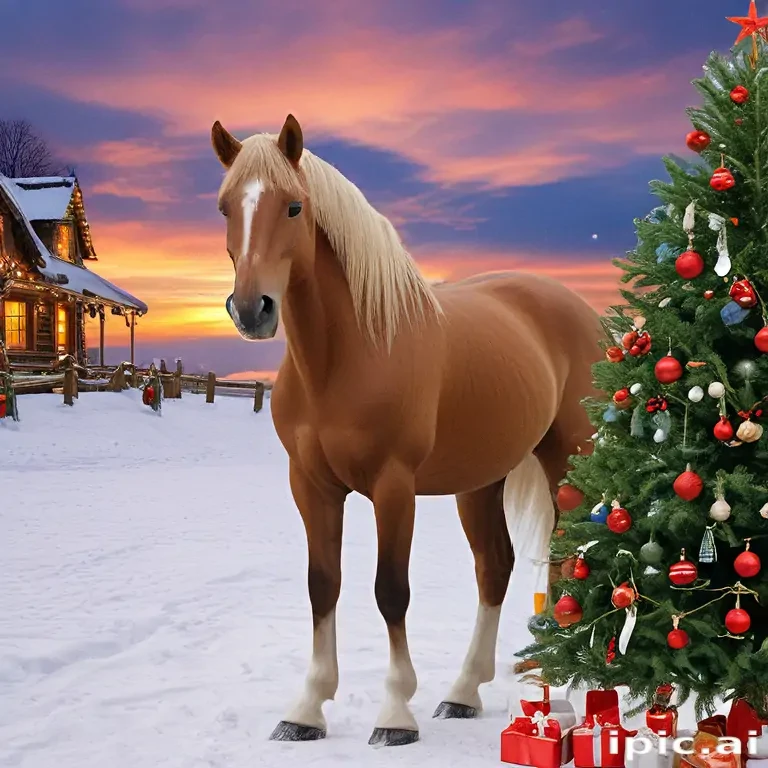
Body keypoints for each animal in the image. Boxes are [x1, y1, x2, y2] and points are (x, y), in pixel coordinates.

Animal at [210, 114, 605, 747]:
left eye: (294, 206)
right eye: (225, 207)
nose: (252, 309)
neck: (348, 356)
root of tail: (582, 311)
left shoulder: (393, 488)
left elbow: (390, 590)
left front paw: (395, 714)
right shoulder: (311, 487)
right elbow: (323, 584)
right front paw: (306, 710)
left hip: (568, 460)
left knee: (568, 560)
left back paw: (558, 687)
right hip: (481, 481)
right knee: (495, 568)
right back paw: (465, 693)